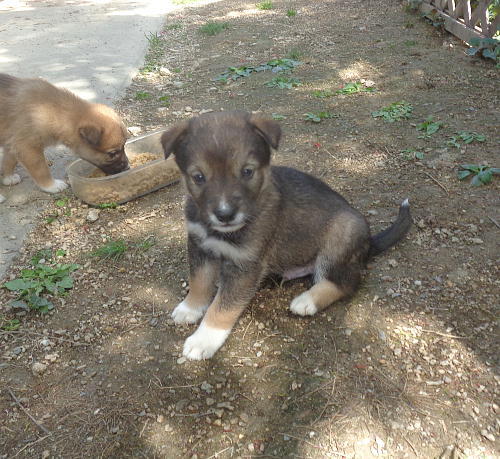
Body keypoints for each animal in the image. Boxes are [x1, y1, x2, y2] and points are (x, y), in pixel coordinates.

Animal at [0, 73, 129, 201]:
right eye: (112, 154)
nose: (127, 167)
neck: (53, 110)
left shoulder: (12, 142)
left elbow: (9, 160)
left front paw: (8, 177)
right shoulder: (27, 146)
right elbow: (41, 169)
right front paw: (51, 185)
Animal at [161, 110, 411, 360]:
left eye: (247, 171)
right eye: (198, 177)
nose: (225, 215)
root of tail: (369, 241)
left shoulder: (245, 265)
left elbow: (222, 306)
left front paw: (203, 339)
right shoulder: (199, 245)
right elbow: (199, 281)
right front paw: (190, 308)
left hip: (341, 236)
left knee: (346, 283)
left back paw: (307, 300)